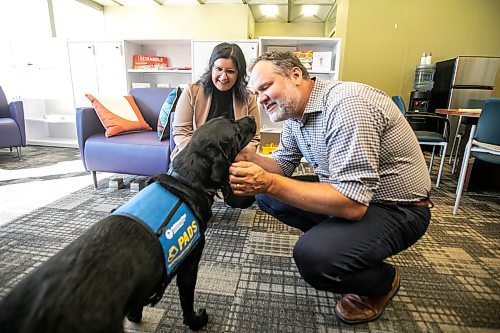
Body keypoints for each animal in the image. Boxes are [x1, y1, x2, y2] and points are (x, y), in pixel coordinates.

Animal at [0, 115, 258, 330]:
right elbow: (187, 300)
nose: (252, 117)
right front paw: (196, 321)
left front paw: (135, 315)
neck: (187, 180)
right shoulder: (190, 263)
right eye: (235, 130)